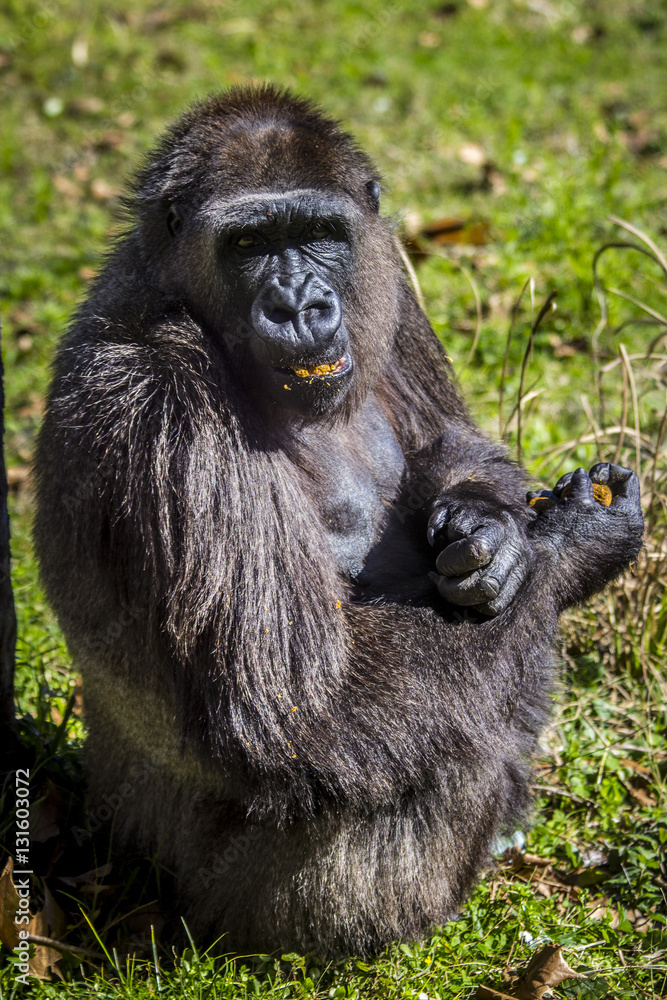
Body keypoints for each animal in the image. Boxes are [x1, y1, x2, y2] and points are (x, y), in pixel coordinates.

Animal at [33, 85, 644, 957]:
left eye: (319, 234)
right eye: (249, 242)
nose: (299, 305)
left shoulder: (391, 283)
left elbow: (453, 439)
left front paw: (493, 524)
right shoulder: (158, 397)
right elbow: (295, 705)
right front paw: (572, 543)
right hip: (224, 914)